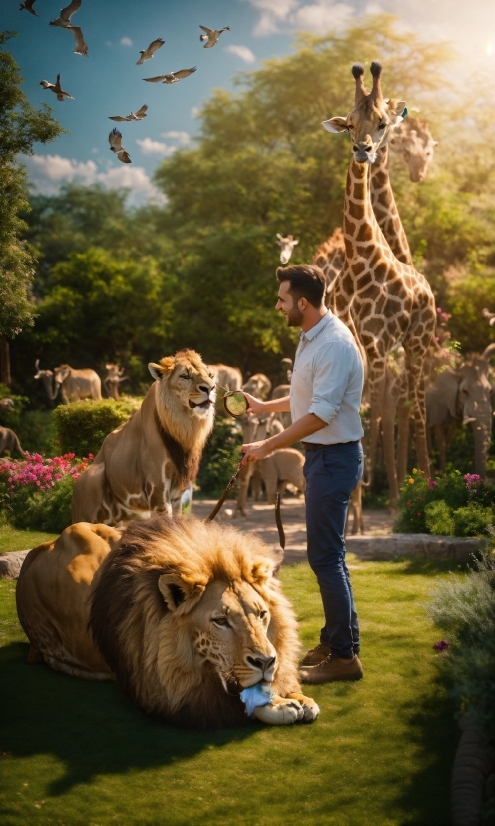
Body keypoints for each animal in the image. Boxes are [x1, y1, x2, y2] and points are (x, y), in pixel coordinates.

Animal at [17, 516, 320, 728]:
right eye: (220, 621)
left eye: (261, 614)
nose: (267, 662)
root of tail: (34, 554)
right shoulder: (162, 691)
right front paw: (281, 706)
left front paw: (297, 696)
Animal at [324, 61, 436, 498]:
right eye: (350, 123)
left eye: (383, 122)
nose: (364, 149)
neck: (361, 257)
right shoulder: (365, 341)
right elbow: (366, 407)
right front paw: (368, 483)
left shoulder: (380, 343)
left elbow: (381, 409)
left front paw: (390, 491)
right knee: (400, 402)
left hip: (419, 343)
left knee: (416, 406)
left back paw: (423, 486)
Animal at [426, 344, 495, 476]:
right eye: (464, 391)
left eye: (490, 391)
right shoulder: (437, 403)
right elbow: (440, 440)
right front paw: (441, 477)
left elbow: (447, 440)